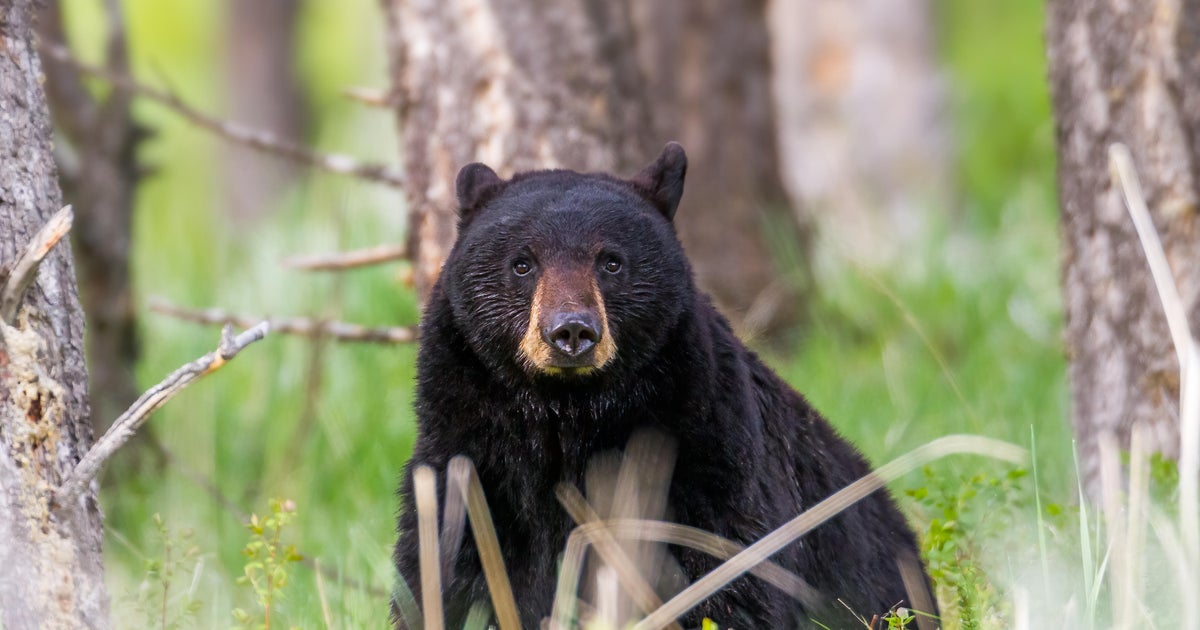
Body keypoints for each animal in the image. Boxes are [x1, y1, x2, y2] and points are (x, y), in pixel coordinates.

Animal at [396, 143, 936, 628]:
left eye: (611, 261)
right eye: (522, 263)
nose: (571, 332)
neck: (568, 417)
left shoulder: (705, 447)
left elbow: (728, 570)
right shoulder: (470, 453)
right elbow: (444, 564)